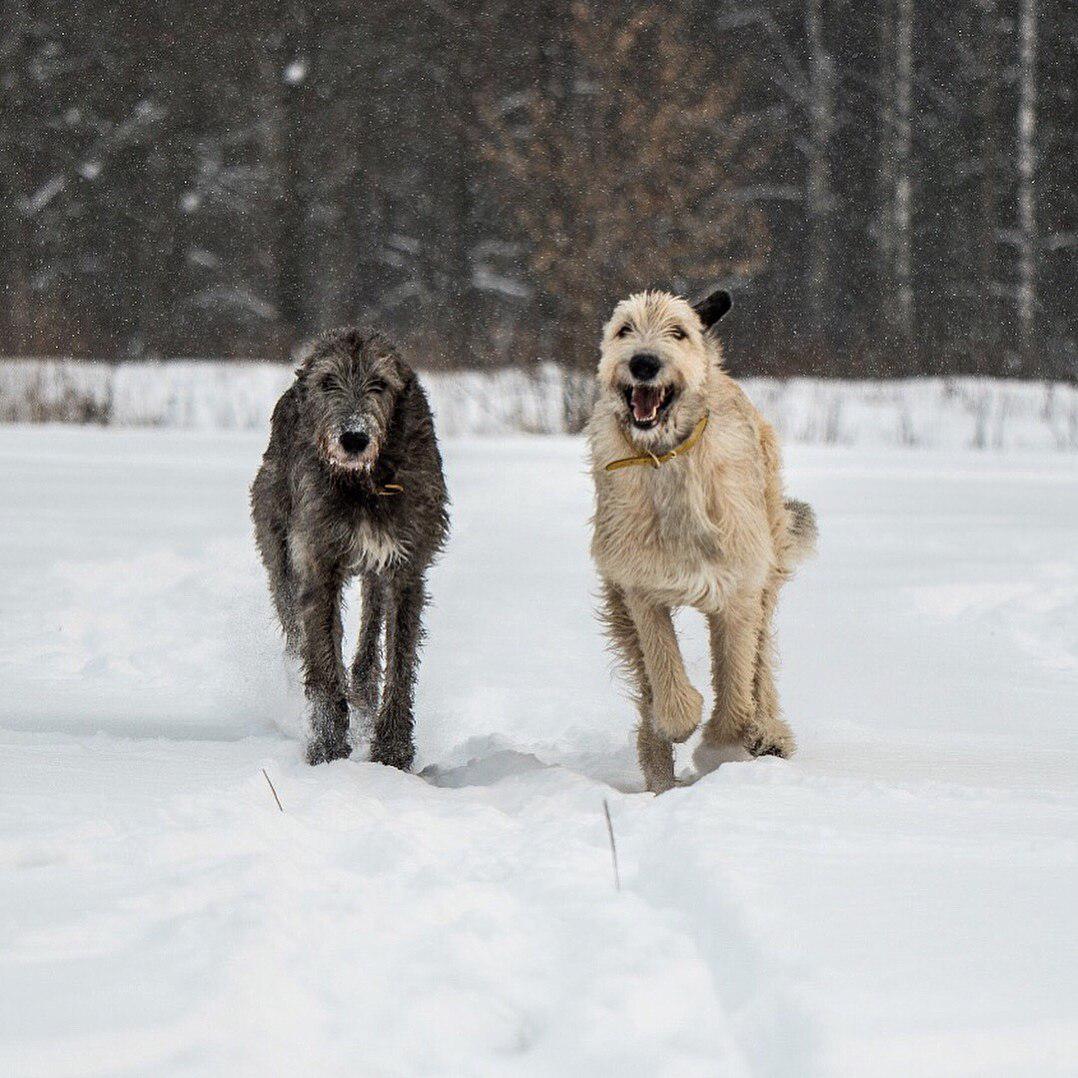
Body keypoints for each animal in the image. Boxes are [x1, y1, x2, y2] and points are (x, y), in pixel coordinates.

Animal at [250, 325, 448, 767]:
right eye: (327, 382)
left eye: (380, 384)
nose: (354, 438)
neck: (363, 483)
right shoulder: (316, 560)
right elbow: (323, 658)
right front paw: (327, 749)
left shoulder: (406, 565)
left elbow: (400, 659)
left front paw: (392, 751)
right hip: (277, 545)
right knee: (298, 629)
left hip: (374, 570)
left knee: (369, 628)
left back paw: (362, 696)